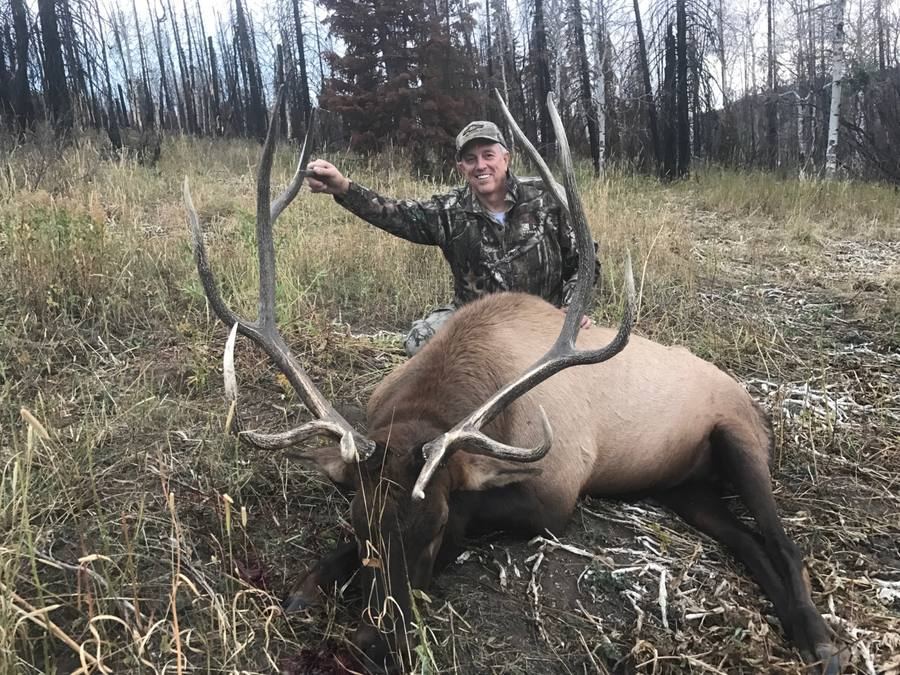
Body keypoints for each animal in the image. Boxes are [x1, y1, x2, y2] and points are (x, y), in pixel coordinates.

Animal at [182, 91, 841, 674]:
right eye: (360, 527)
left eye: (435, 528)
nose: (371, 643)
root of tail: (751, 400)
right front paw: (312, 582)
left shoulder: (556, 492)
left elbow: (479, 508)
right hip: (684, 486)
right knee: (745, 540)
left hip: (738, 437)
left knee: (783, 541)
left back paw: (820, 640)